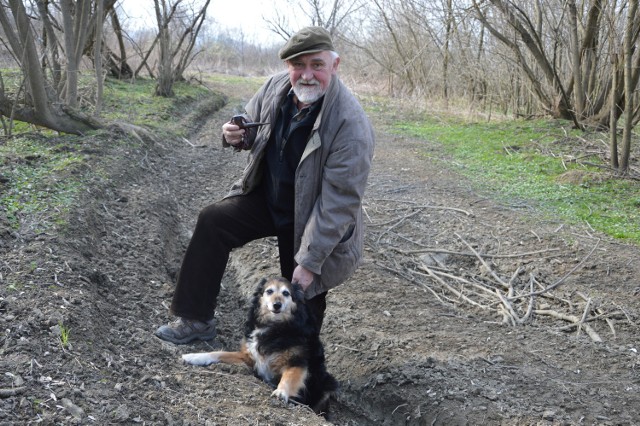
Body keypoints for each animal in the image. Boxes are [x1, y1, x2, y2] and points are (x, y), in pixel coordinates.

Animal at [181, 278, 338, 414]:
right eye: (269, 291)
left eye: (286, 293)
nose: (277, 305)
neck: (274, 327)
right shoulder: (249, 357)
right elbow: (219, 353)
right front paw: (194, 356)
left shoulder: (297, 362)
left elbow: (289, 377)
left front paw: (281, 392)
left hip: (328, 383)